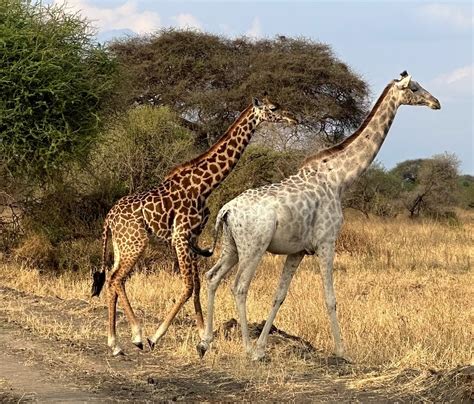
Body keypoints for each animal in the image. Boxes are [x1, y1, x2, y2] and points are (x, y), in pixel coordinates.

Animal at [90, 96, 296, 356]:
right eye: (273, 108)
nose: (293, 117)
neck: (204, 186)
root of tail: (109, 217)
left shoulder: (193, 238)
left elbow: (197, 285)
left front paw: (202, 336)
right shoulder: (181, 235)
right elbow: (188, 286)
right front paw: (156, 337)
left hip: (122, 244)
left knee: (112, 279)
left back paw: (115, 343)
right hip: (136, 242)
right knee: (117, 279)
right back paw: (136, 336)